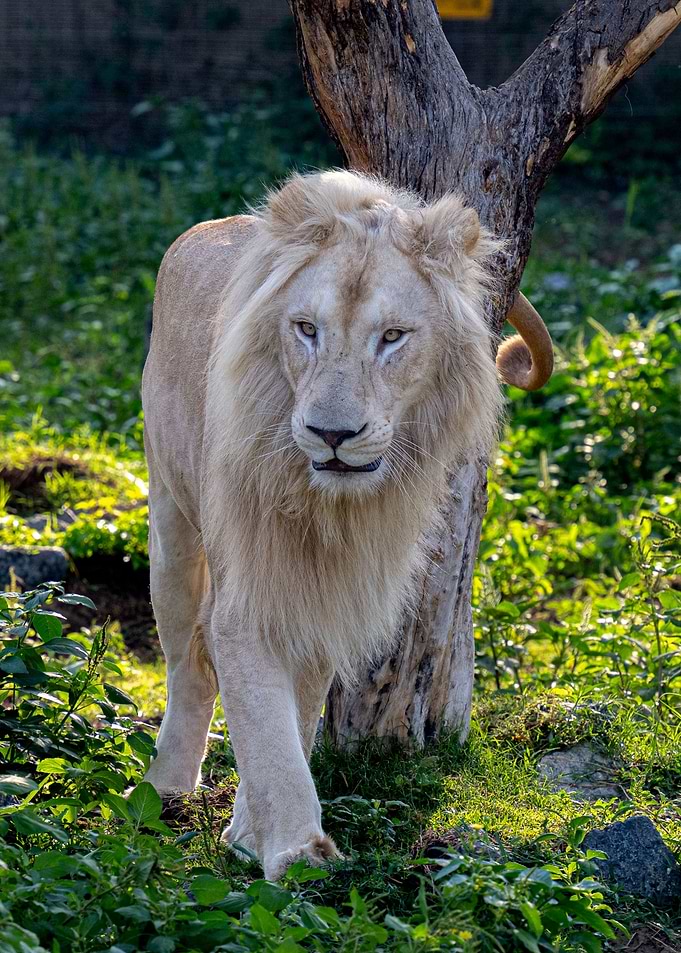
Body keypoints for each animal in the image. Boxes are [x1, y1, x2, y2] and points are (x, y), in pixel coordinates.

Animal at [141, 169, 553, 880]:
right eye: (306, 329)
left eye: (392, 337)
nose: (333, 434)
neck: (328, 510)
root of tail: (206, 228)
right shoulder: (247, 592)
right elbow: (267, 725)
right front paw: (298, 853)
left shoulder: (331, 587)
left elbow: (297, 715)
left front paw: (250, 833)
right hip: (170, 521)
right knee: (187, 660)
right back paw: (165, 788)